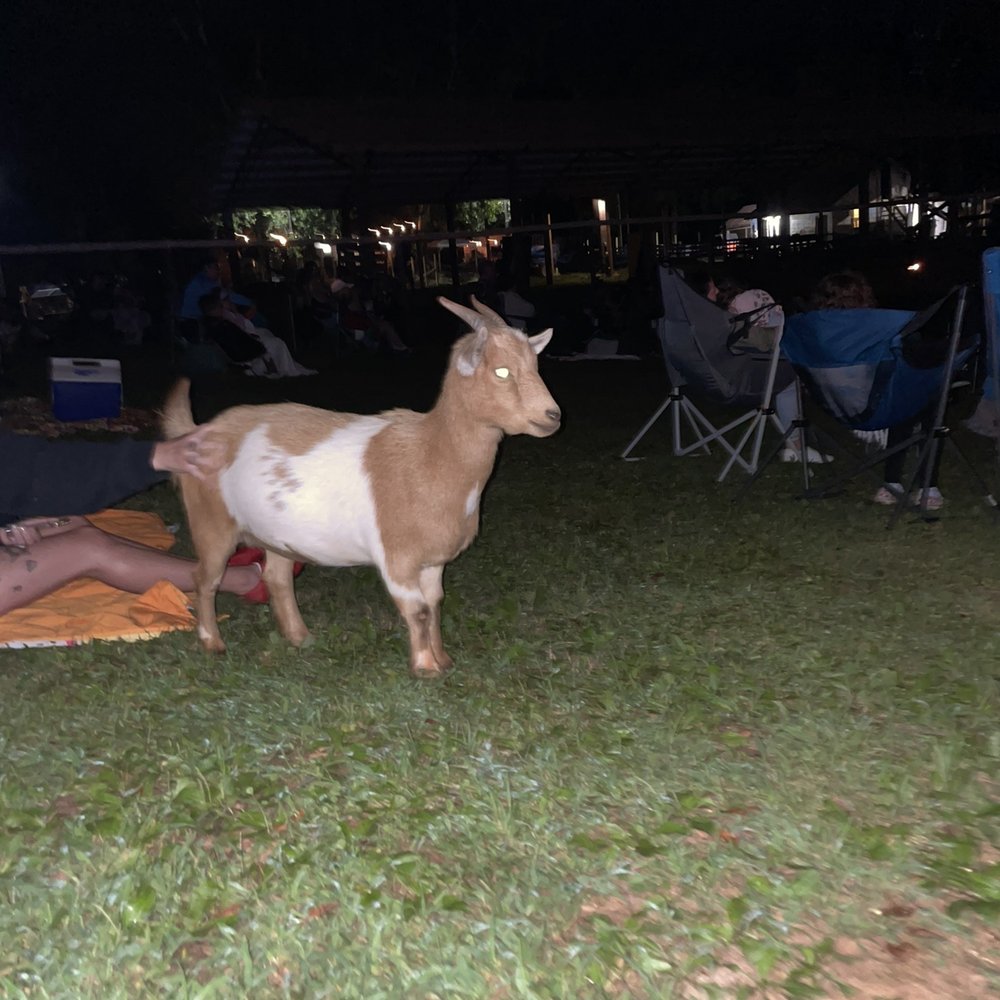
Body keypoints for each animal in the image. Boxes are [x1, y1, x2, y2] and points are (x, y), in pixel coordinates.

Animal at [161, 295, 561, 676]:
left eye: (536, 367)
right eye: (502, 371)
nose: (553, 416)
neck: (430, 453)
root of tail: (197, 432)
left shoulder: (433, 560)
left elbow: (434, 605)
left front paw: (443, 659)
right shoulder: (397, 557)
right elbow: (417, 610)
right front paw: (425, 668)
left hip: (276, 533)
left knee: (277, 577)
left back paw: (300, 637)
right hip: (212, 522)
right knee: (205, 578)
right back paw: (213, 642)